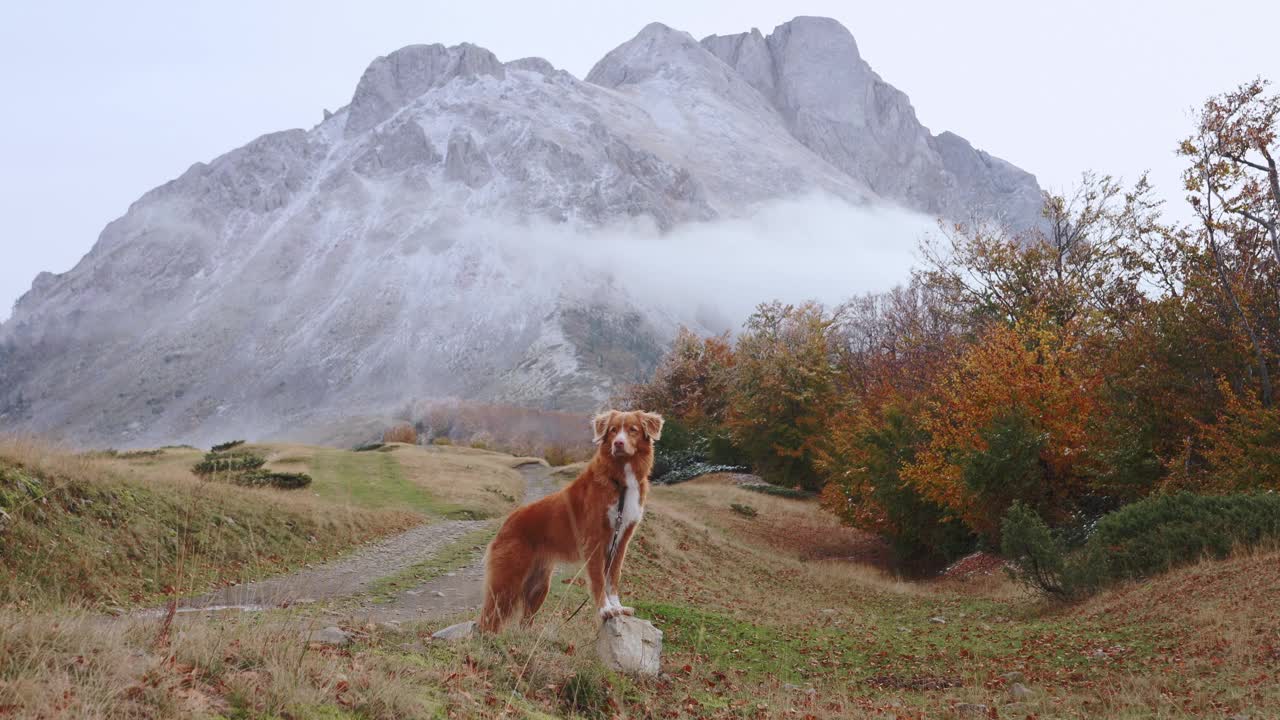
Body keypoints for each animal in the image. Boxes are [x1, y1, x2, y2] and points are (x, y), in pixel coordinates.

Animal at [476, 407, 665, 630]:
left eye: (633, 430)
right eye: (612, 430)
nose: (618, 443)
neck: (620, 481)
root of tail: (507, 523)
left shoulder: (621, 540)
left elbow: (613, 578)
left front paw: (618, 607)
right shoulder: (594, 540)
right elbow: (599, 580)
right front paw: (605, 609)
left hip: (538, 586)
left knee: (525, 621)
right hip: (507, 582)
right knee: (487, 621)